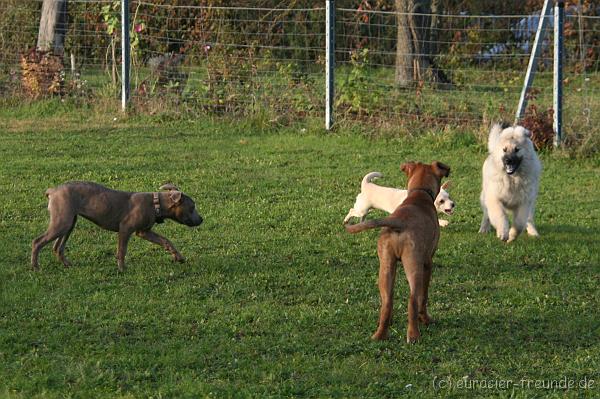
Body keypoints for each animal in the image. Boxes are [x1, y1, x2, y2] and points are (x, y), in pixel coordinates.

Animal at [30, 182, 203, 272]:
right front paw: (122, 269)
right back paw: (35, 267)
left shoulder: (144, 232)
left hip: (68, 223)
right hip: (62, 222)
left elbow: (166, 240)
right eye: (192, 207)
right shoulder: (125, 229)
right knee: (37, 242)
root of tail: (52, 190)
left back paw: (67, 264)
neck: (156, 203)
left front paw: (178, 256)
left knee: (57, 247)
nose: (202, 219)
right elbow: (122, 250)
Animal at [344, 162, 448, 344]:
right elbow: (424, 297)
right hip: (414, 268)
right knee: (413, 301)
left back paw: (380, 334)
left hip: (385, 268)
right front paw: (425, 319)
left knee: (387, 303)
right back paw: (414, 335)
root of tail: (399, 222)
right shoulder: (427, 263)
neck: (419, 194)